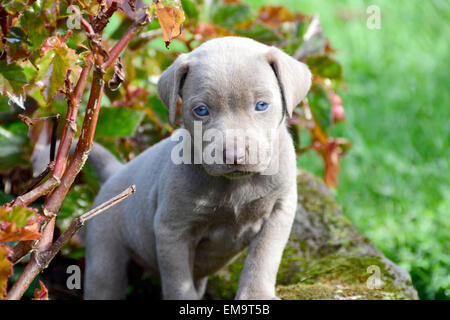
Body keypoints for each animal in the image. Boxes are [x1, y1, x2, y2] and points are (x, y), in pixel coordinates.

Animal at [57, 37, 310, 300]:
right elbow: (179, 282)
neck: (235, 184)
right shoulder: (172, 231)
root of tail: (115, 171)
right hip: (105, 253)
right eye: (201, 110)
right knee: (105, 282)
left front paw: (256, 294)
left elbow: (263, 257)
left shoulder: (279, 211)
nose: (234, 155)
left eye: (261, 105)